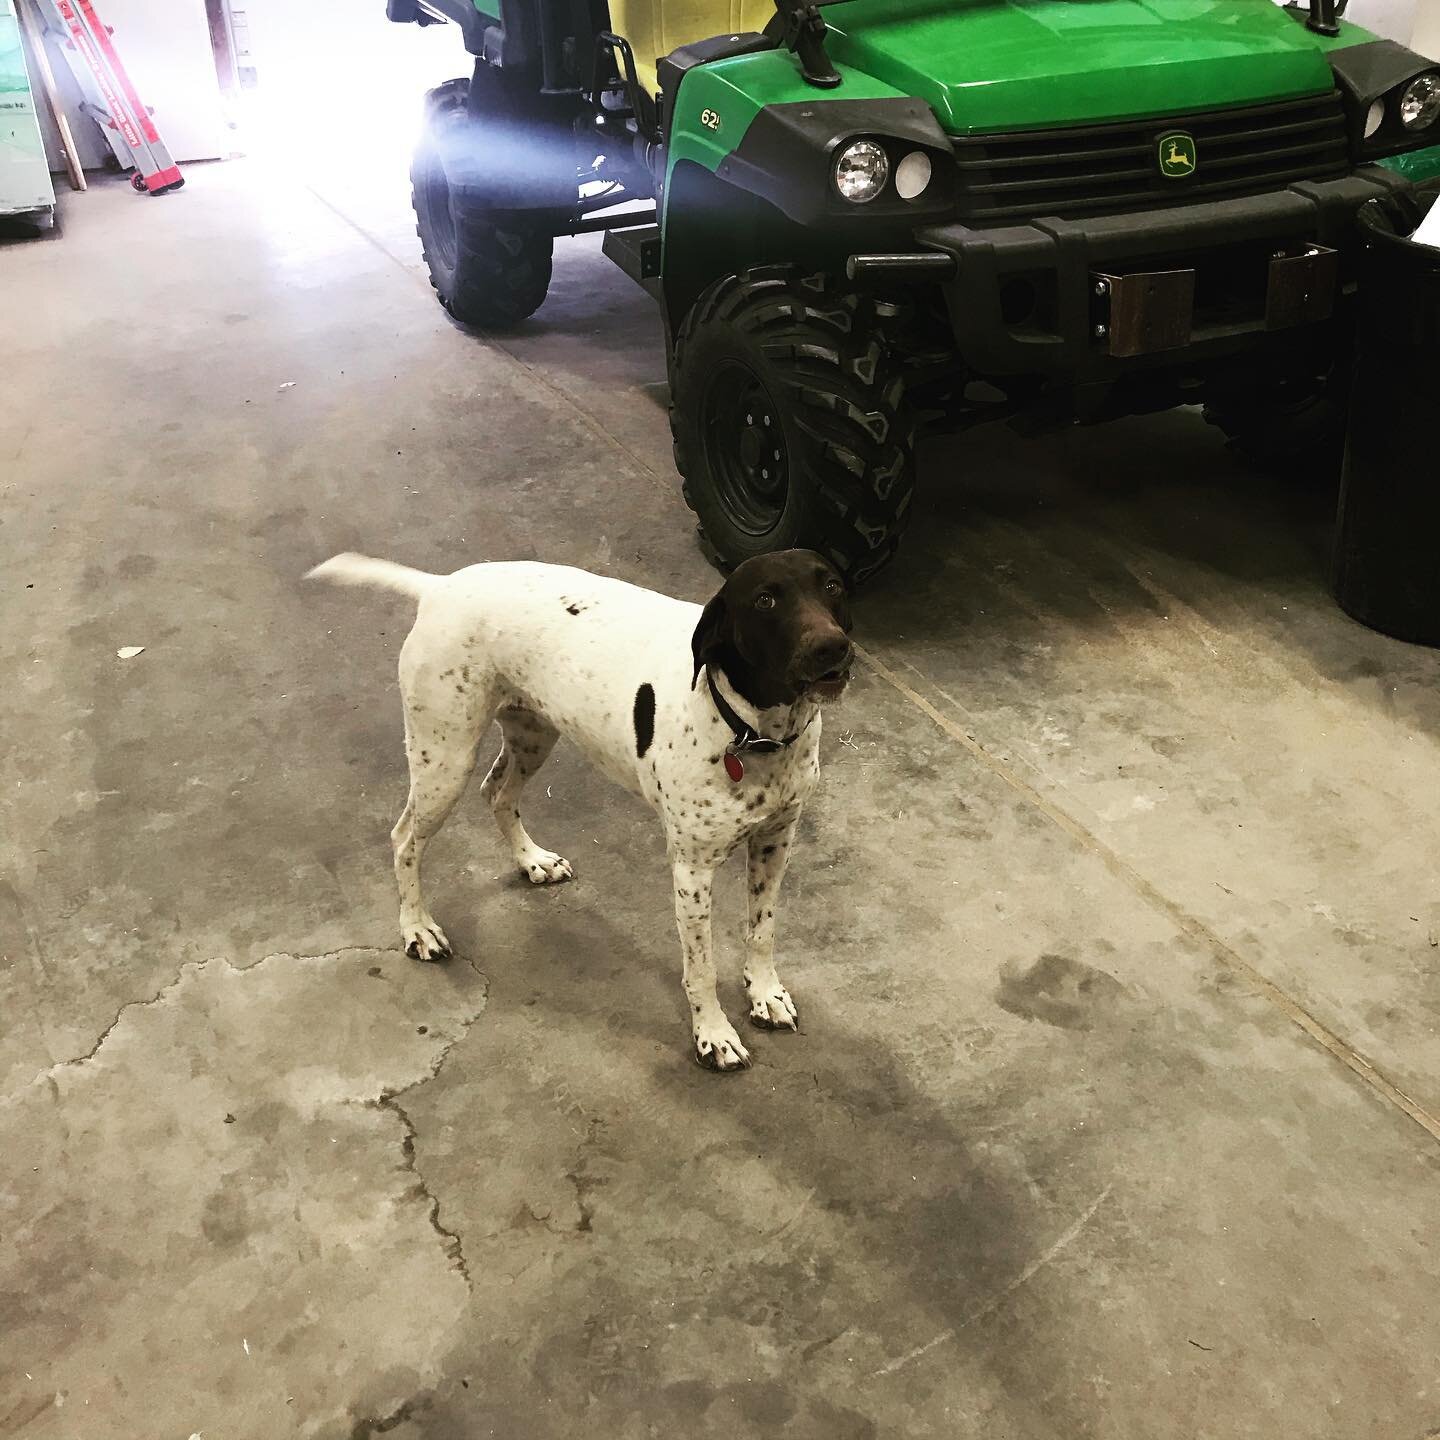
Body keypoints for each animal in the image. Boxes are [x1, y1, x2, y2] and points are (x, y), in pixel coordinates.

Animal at [309, 550, 846, 1071]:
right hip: (444, 760)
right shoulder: (692, 871)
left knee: (497, 793)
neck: (755, 732)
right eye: (764, 601)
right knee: (405, 838)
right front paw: (713, 1035)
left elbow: (763, 930)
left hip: (532, 735)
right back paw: (417, 927)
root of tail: (441, 586)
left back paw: (532, 861)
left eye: (832, 585)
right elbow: (702, 968)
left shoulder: (776, 842)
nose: (834, 647)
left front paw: (765, 993)